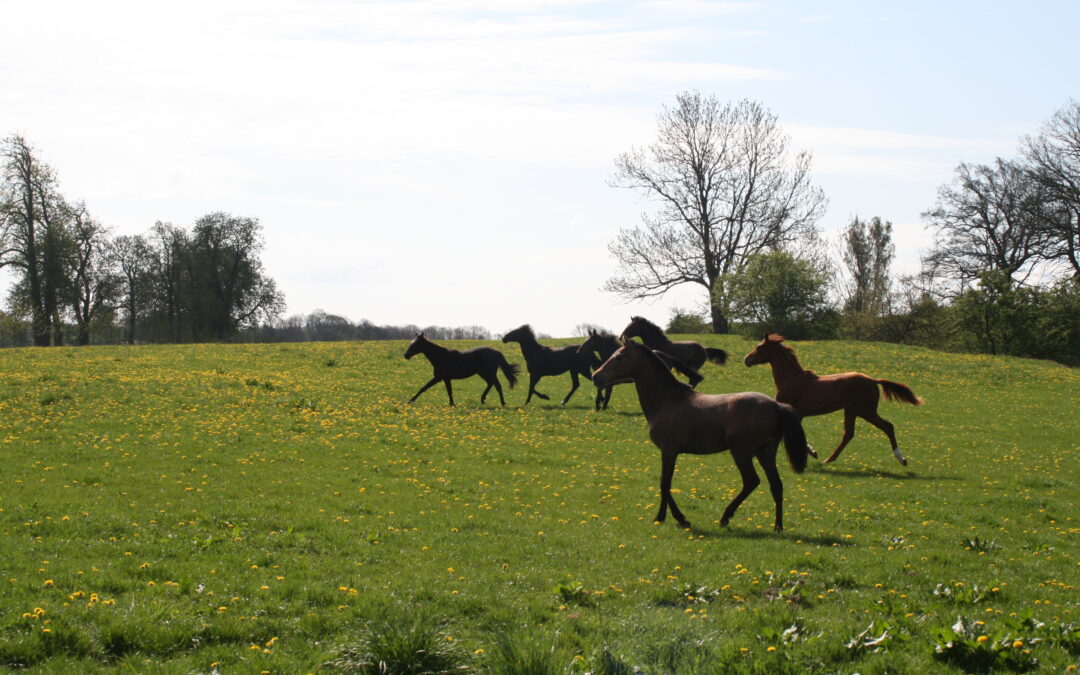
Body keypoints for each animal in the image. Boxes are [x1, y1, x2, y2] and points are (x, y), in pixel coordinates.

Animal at [591, 336, 812, 531]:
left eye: (619, 357)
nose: (596, 377)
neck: (667, 399)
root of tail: (775, 405)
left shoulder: (669, 450)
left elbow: (665, 483)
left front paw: (666, 517)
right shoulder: (670, 451)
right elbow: (665, 483)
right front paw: (677, 518)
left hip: (741, 452)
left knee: (751, 481)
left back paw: (725, 517)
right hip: (766, 452)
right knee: (776, 485)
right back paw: (778, 526)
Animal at [743, 332, 928, 462]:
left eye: (759, 347)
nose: (746, 359)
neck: (792, 379)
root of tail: (873, 380)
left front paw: (812, 452)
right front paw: (813, 452)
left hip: (866, 411)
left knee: (887, 427)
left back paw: (902, 458)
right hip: (851, 410)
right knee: (849, 434)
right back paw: (828, 460)